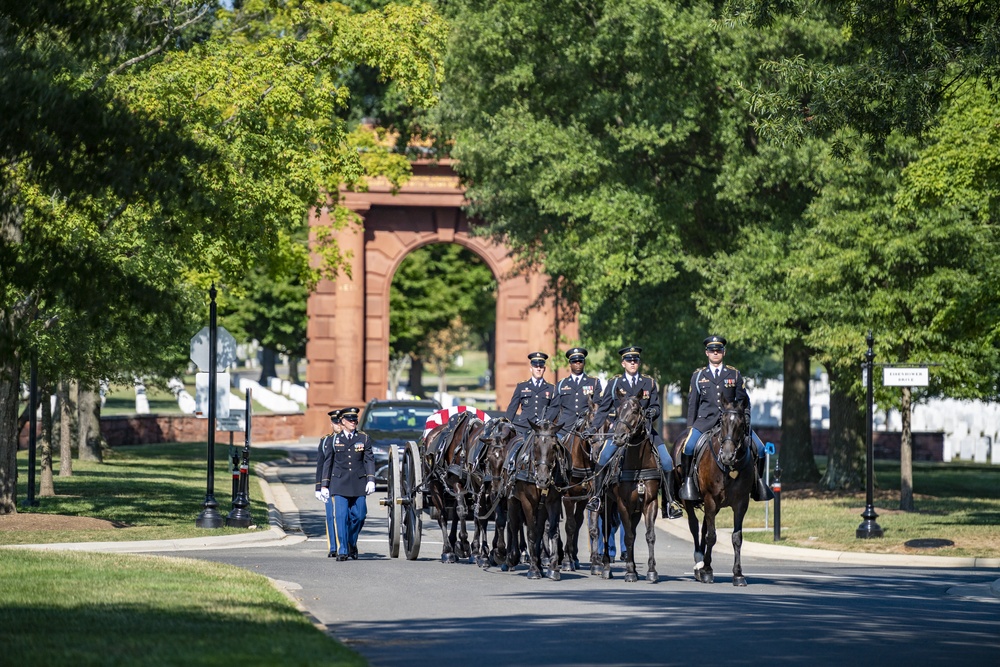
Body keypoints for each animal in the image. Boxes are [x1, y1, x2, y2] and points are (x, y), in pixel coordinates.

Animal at [422, 412, 484, 564]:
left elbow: (475, 513)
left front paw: (475, 551)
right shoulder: (457, 484)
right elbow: (461, 511)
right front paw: (464, 544)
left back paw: (452, 542)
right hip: (434, 484)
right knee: (442, 515)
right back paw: (447, 551)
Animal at [504, 422, 568, 580]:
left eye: (554, 446)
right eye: (535, 445)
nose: (543, 480)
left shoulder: (553, 501)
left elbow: (552, 531)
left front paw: (552, 568)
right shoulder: (527, 502)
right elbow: (531, 532)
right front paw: (533, 569)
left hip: (541, 507)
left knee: (539, 529)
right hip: (512, 500)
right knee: (513, 524)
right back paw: (512, 557)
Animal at [596, 392, 660, 584]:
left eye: (635, 410)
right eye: (616, 412)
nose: (618, 438)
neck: (638, 466)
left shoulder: (650, 503)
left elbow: (649, 535)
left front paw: (651, 571)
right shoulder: (623, 505)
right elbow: (628, 536)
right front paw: (630, 571)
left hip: (636, 511)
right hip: (606, 504)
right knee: (607, 530)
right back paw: (606, 567)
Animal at [676, 400, 752, 588]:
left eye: (741, 424)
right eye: (722, 422)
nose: (727, 456)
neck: (729, 469)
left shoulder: (741, 503)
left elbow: (736, 537)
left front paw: (738, 574)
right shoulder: (710, 499)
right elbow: (711, 536)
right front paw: (707, 570)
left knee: (703, 527)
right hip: (691, 500)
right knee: (694, 526)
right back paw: (699, 562)